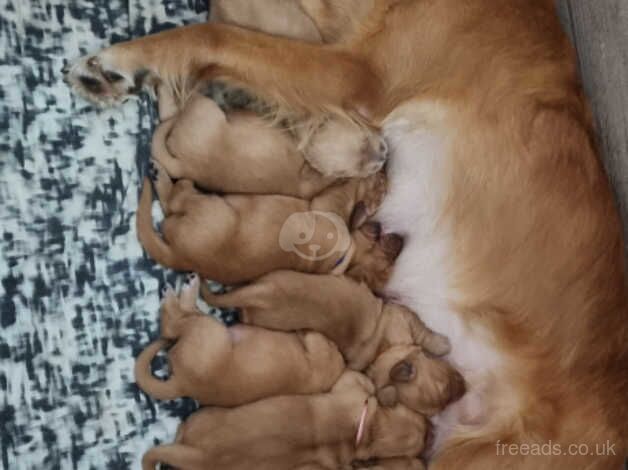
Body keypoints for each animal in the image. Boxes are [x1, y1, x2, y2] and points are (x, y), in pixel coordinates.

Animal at [135, 274, 346, 406]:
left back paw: (177, 290)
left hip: (210, 331)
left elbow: (312, 335)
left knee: (174, 322)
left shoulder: (319, 351)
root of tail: (183, 383)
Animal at [141, 370, 432, 470]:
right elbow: (363, 382)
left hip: (206, 416)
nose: (430, 432)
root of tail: (197, 456)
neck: (368, 431)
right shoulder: (348, 385)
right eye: (422, 426)